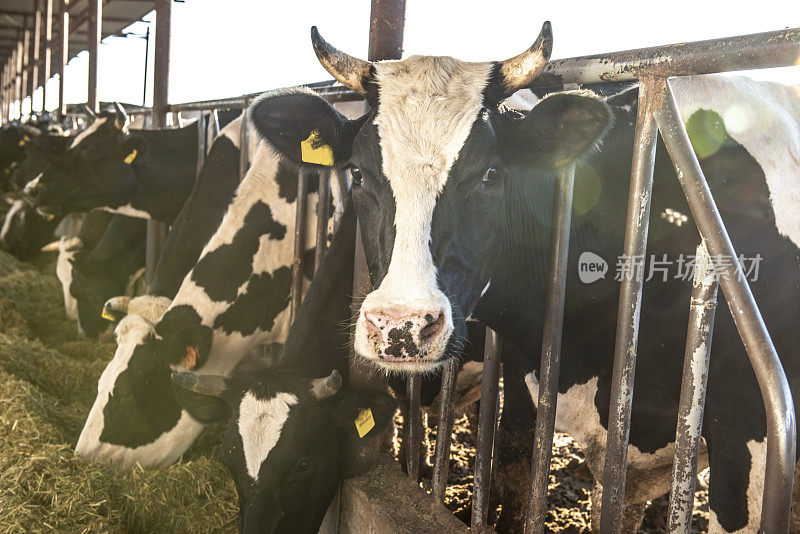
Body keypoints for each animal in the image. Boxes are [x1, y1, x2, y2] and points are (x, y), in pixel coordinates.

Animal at [248, 26, 800, 534]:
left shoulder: (750, 442)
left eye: (491, 174)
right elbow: (514, 484)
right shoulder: (522, 384)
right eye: (358, 174)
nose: (400, 327)